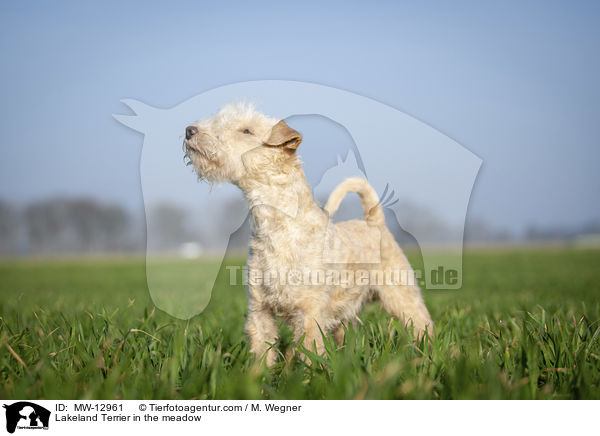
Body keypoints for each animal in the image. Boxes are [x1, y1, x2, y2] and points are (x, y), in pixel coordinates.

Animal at [183, 103, 432, 364]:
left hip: (401, 294)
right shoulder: (260, 310)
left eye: (247, 130)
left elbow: (310, 352)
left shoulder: (309, 313)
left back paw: (426, 355)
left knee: (422, 323)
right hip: (345, 315)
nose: (189, 130)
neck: (278, 226)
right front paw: (259, 374)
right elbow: (262, 352)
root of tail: (375, 223)